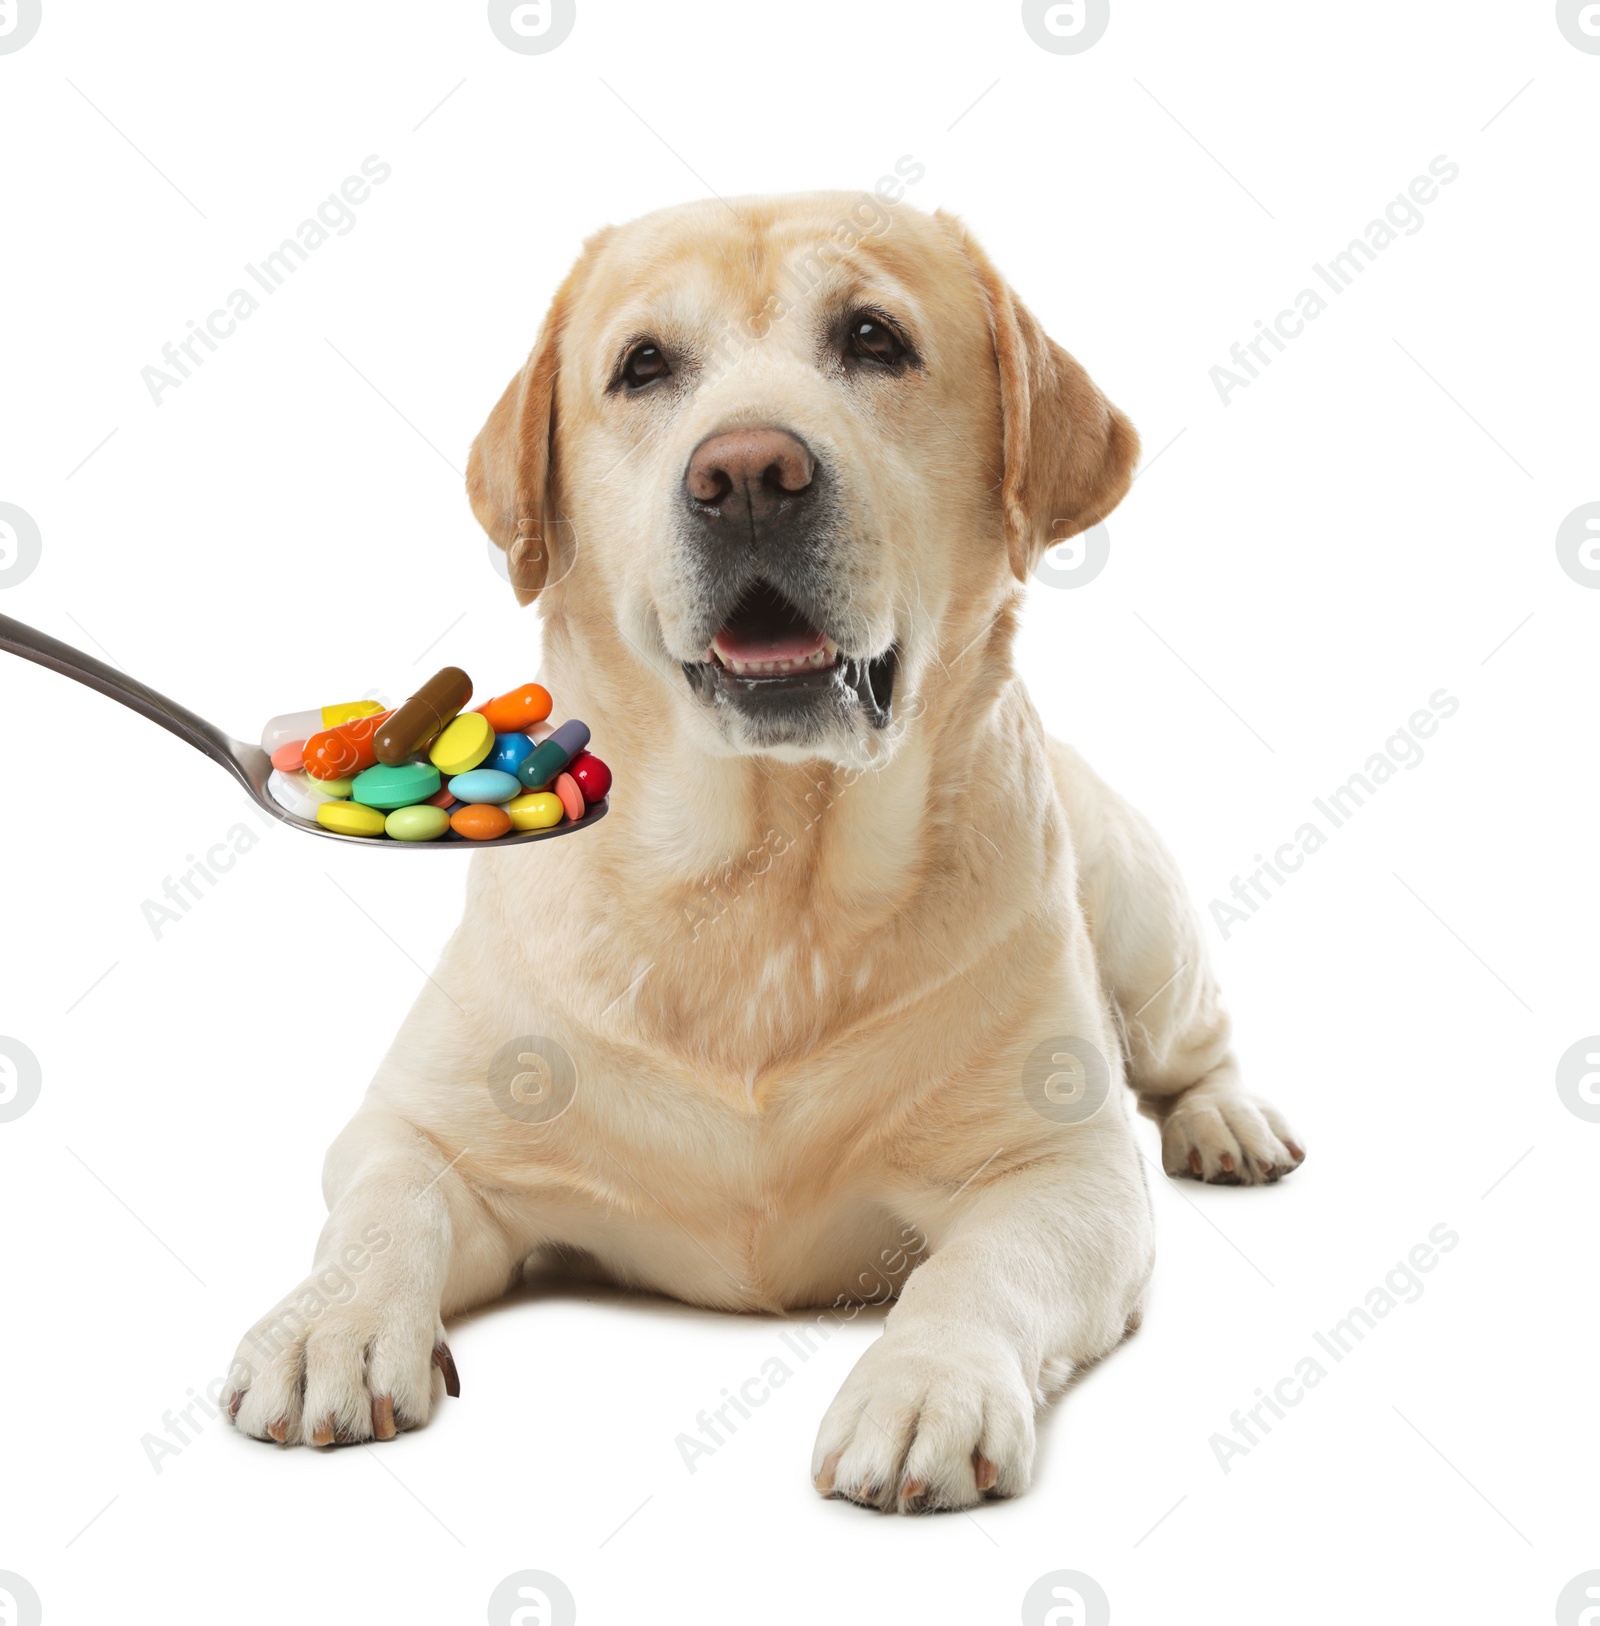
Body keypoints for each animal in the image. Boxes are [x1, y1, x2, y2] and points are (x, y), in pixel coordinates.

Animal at [221, 190, 1300, 1508]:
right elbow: (387, 1205)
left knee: (1196, 1046)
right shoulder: (415, 1127)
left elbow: (977, 1269)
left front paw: (923, 1385)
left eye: (875, 338)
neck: (763, 878)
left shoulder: (1066, 1174)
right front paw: (327, 1325)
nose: (745, 476)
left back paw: (1227, 1124)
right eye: (642, 366)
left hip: (1146, 925)